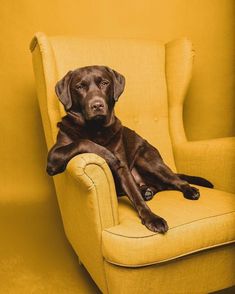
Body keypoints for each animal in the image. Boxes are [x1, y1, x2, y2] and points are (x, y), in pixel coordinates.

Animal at [46, 65, 213, 233]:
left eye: (105, 83)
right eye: (79, 86)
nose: (97, 105)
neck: (96, 129)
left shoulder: (124, 169)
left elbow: (135, 196)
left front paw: (152, 218)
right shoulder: (53, 157)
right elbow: (82, 141)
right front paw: (108, 155)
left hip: (148, 161)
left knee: (176, 180)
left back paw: (188, 190)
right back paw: (147, 191)